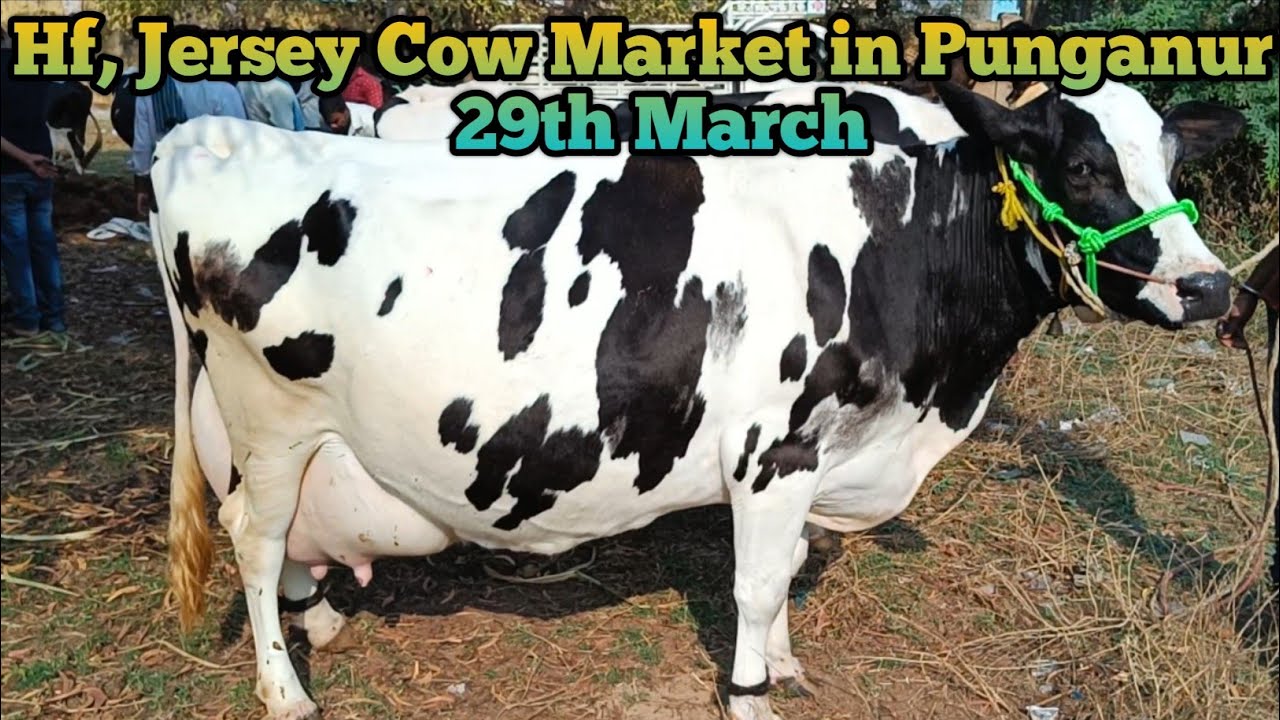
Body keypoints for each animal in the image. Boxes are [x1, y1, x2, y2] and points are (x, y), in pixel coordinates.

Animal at [151, 79, 1242, 720]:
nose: (1210, 287)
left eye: (1171, 163)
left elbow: (786, 571)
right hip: (272, 419)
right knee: (252, 535)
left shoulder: (814, 459)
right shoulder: (773, 451)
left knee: (278, 537)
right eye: (1085, 166)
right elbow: (755, 586)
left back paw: (317, 617)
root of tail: (209, 139)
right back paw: (285, 688)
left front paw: (785, 664)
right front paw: (752, 694)